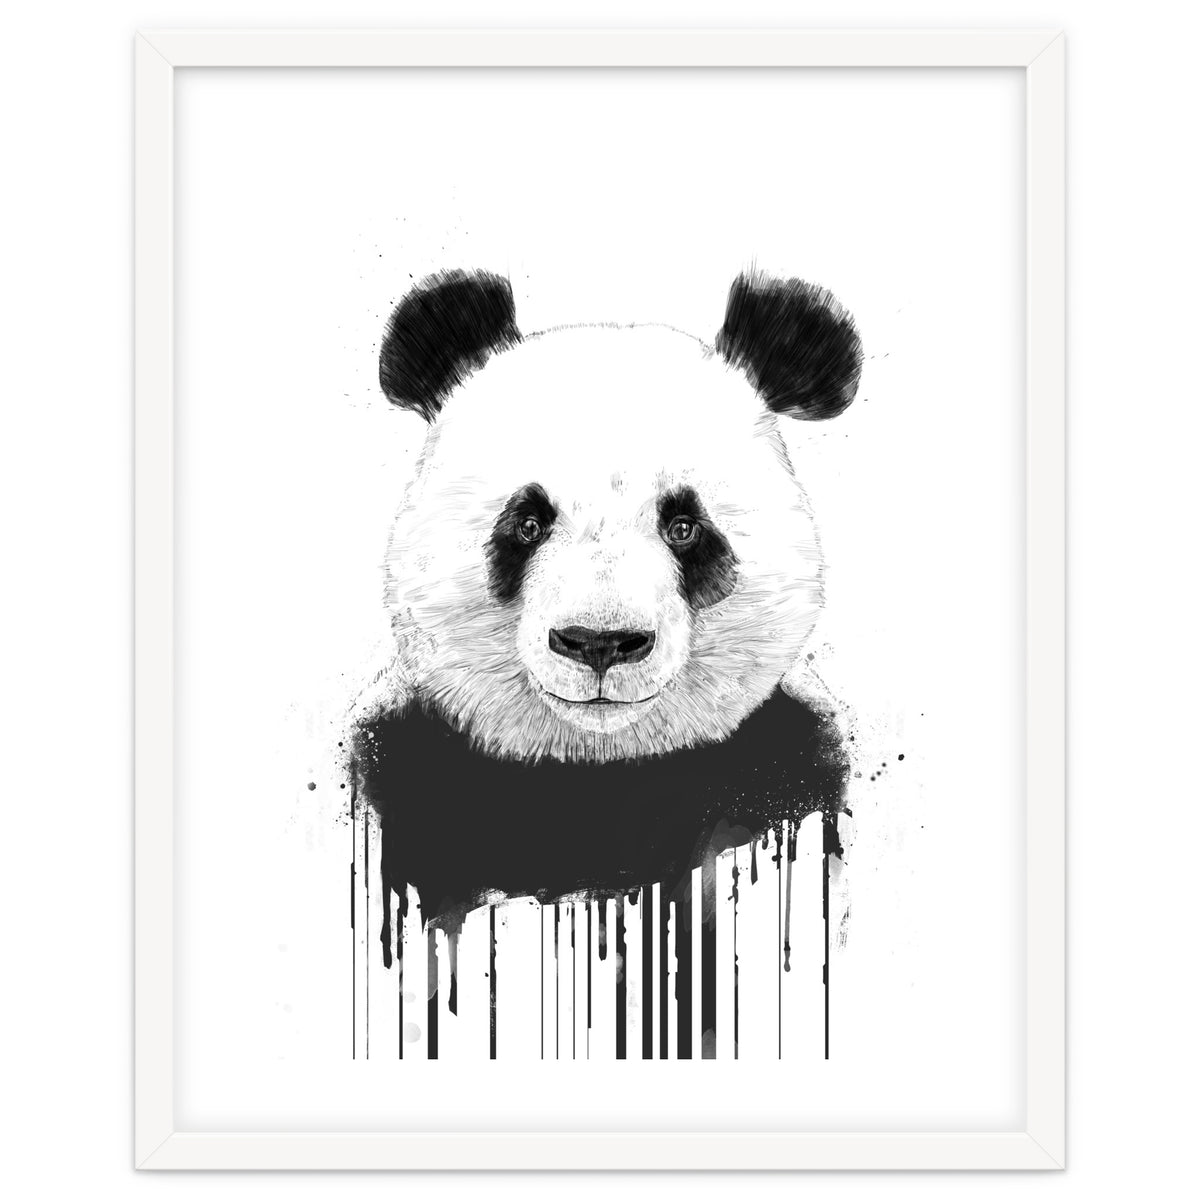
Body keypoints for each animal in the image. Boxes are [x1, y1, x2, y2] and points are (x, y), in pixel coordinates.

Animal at [350, 268, 861, 985]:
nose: (600, 643)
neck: (597, 770)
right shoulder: (410, 766)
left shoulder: (783, 767)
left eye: (685, 526)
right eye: (526, 523)